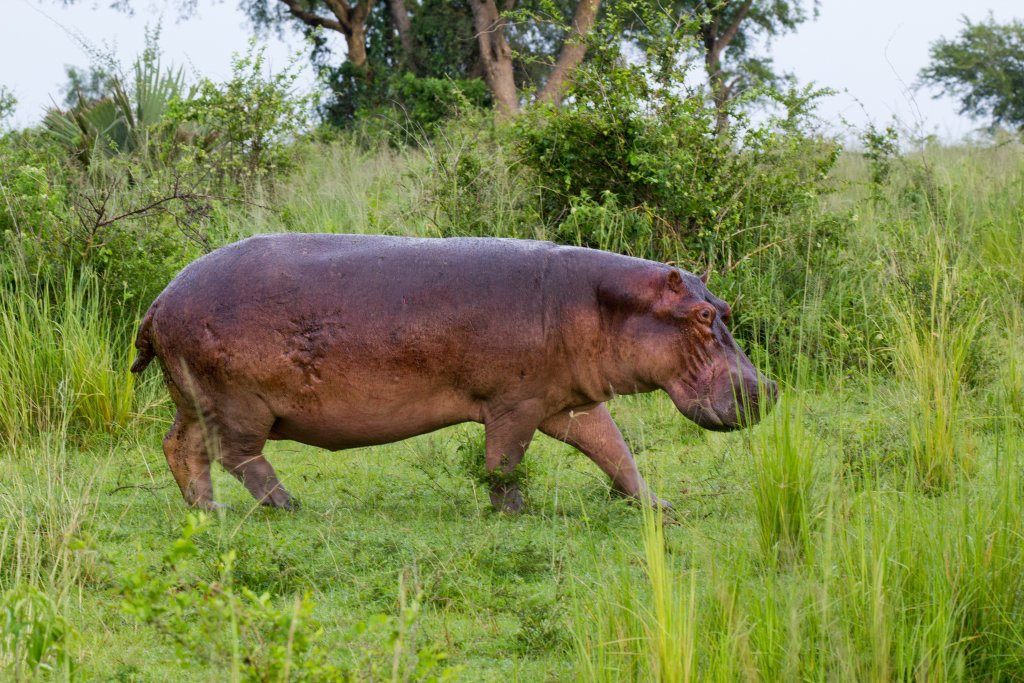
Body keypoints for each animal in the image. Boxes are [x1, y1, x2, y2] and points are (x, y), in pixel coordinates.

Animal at [131, 233, 776, 512]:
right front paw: (512, 512)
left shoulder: (569, 401)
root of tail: (158, 299)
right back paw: (288, 505)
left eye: (723, 309)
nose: (767, 389)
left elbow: (615, 452)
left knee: (179, 447)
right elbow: (504, 462)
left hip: (194, 398)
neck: (603, 304)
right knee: (238, 455)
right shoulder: (515, 404)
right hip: (239, 403)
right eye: (700, 316)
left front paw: (658, 509)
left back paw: (206, 510)